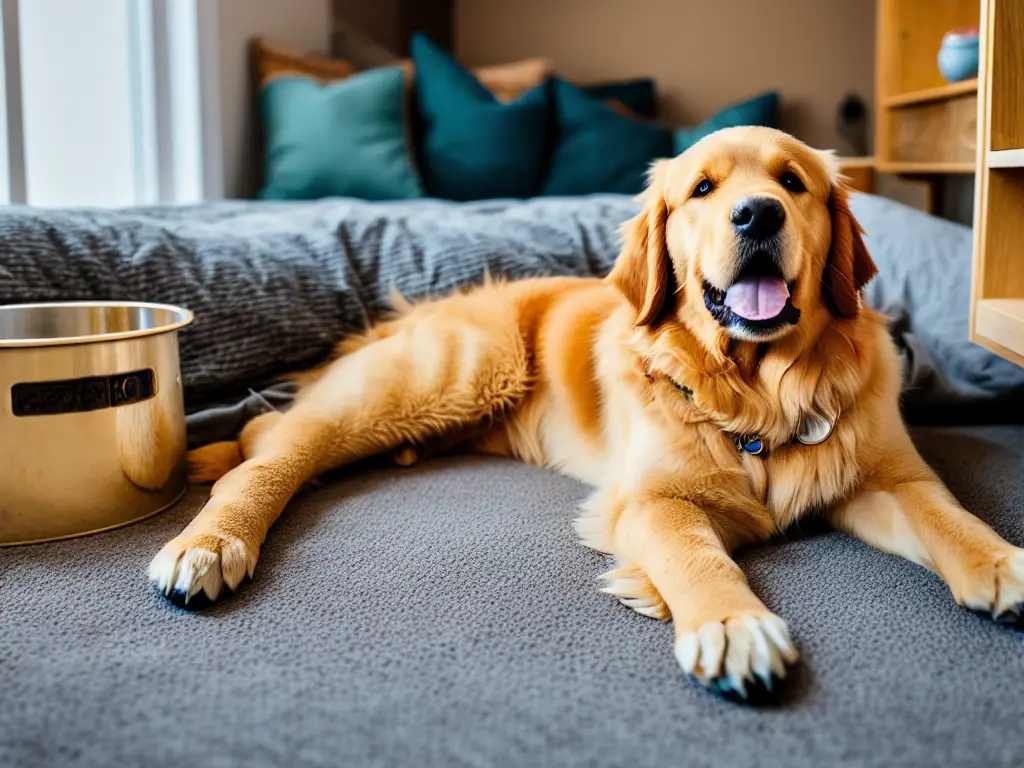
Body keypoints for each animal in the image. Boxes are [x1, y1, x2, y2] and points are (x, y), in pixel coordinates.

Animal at [149, 129, 1024, 700]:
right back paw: (207, 547)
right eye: (702, 191)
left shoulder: (889, 479)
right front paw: (731, 624)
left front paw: (1006, 564)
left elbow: (951, 520)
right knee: (269, 452)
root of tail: (424, 309)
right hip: (436, 380)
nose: (758, 215)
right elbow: (698, 559)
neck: (758, 392)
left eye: (793, 182)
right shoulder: (653, 500)